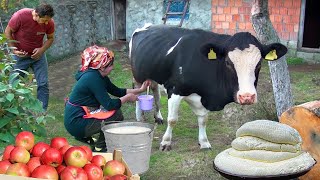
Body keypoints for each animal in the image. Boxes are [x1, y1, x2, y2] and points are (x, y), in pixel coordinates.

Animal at [129, 23, 288, 150]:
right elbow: (173, 119)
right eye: (228, 62)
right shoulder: (175, 89)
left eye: (259, 63)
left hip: (154, 75)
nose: (247, 96)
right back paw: (139, 118)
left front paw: (204, 142)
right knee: (137, 93)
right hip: (138, 75)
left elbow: (203, 120)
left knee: (155, 93)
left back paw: (158, 117)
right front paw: (166, 143)